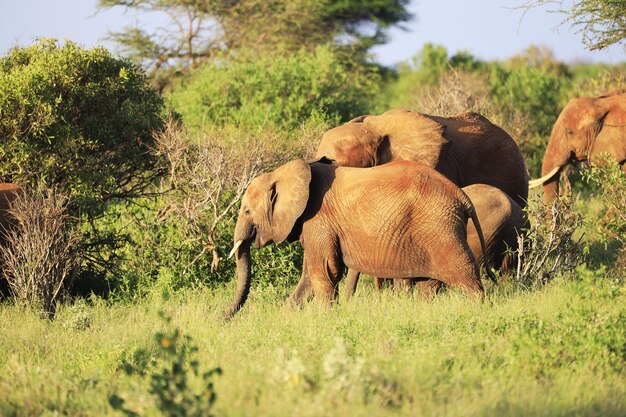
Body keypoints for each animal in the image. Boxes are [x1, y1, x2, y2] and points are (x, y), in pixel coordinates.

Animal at [227, 158, 494, 316]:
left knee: (466, 275)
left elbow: (323, 272)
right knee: (427, 285)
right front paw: (287, 318)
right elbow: (309, 277)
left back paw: (480, 311)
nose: (223, 319)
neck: (284, 173)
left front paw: (328, 318)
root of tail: (461, 197)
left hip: (441, 230)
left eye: (247, 211)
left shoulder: (318, 221)